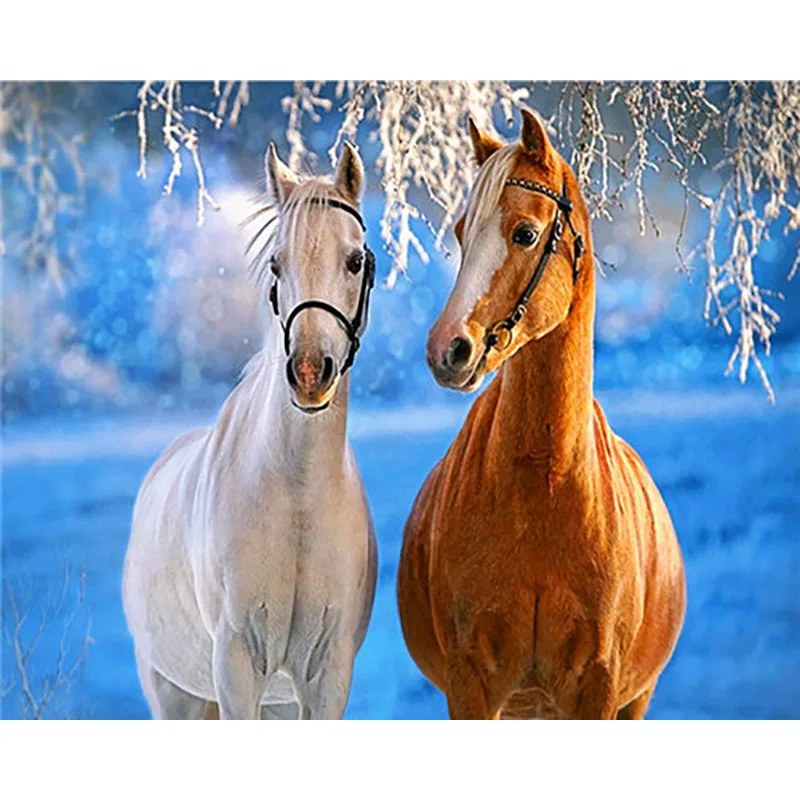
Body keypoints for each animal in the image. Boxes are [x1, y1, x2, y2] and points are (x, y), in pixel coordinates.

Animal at [123, 141, 377, 720]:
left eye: (354, 260)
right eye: (277, 263)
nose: (310, 372)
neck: (298, 497)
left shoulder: (327, 677)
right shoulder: (237, 669)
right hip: (173, 695)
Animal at [397, 110, 686, 719]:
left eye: (525, 234)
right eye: (461, 233)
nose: (447, 350)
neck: (543, 485)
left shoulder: (598, 688)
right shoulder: (471, 686)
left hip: (634, 700)